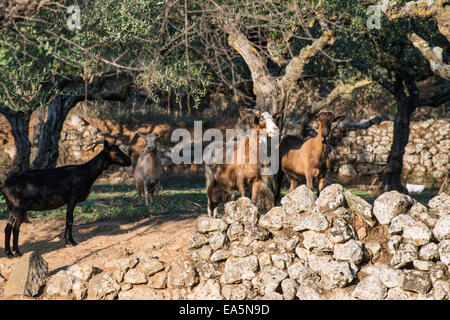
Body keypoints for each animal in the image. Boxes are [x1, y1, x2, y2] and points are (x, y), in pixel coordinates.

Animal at [0, 140, 132, 258]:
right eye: (115, 151)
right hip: (19, 207)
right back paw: (17, 252)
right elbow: (70, 220)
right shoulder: (71, 200)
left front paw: (69, 241)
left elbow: (69, 220)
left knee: (7, 228)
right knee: (15, 228)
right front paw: (70, 242)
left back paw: (8, 253)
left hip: (12, 208)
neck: (86, 172)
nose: (129, 161)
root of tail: (4, 185)